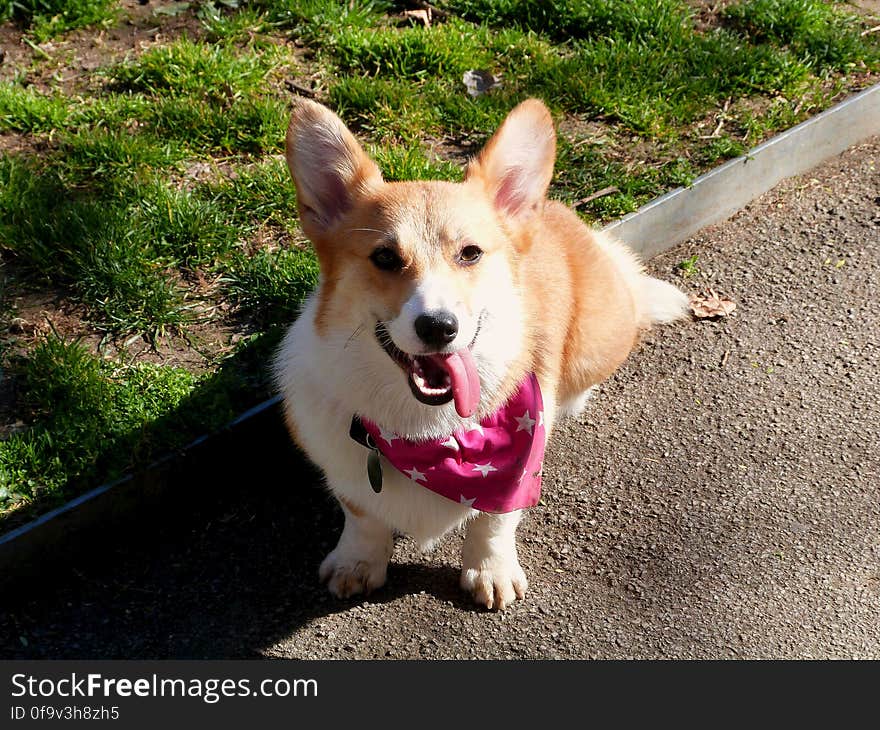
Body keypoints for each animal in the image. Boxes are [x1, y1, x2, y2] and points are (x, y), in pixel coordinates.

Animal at [276, 96, 688, 608]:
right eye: (385, 257)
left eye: (470, 253)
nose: (438, 327)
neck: (427, 432)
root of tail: (563, 216)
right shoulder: (341, 465)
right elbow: (362, 514)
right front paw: (358, 562)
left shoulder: (517, 466)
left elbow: (495, 518)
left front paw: (490, 571)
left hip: (600, 342)